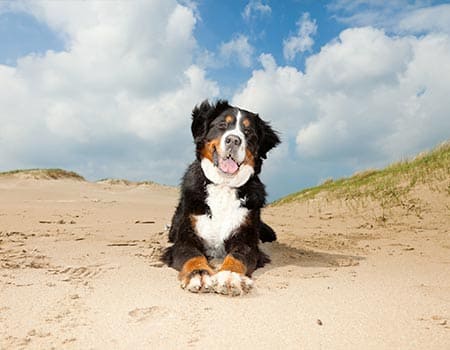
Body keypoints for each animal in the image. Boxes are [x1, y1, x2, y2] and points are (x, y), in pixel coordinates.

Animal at [162, 99, 280, 296]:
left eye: (248, 132)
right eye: (222, 125)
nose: (233, 140)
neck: (224, 186)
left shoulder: (246, 241)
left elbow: (237, 256)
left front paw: (230, 276)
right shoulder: (185, 239)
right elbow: (193, 256)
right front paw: (199, 274)